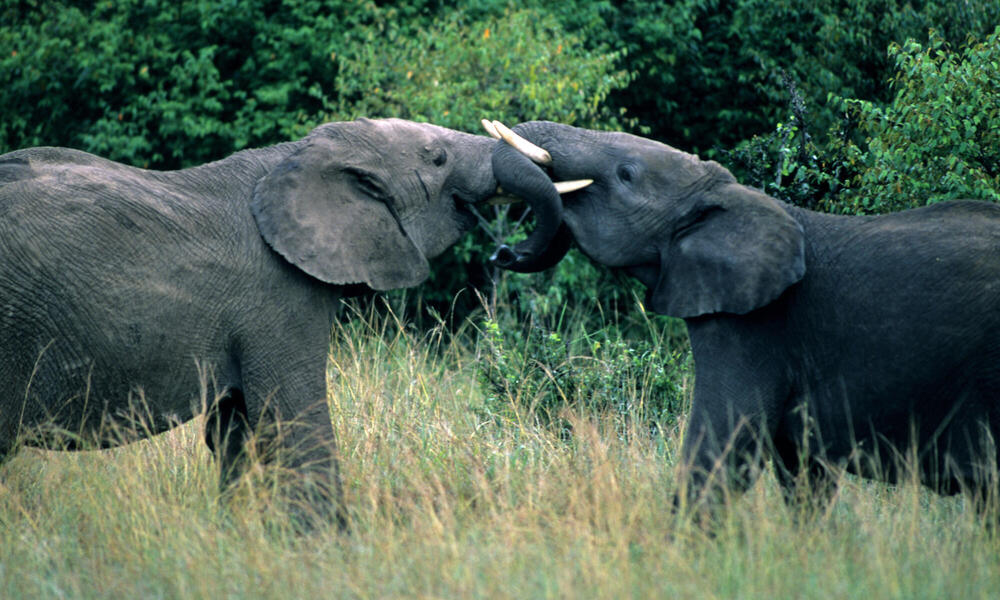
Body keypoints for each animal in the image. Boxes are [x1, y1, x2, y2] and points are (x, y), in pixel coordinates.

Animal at [0, 118, 520, 528]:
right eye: (437, 158)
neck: (294, 155)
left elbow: (236, 435)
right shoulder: (279, 296)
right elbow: (296, 421)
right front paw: (334, 551)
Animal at [484, 120, 1000, 516]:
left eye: (626, 174)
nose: (502, 252)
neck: (731, 198)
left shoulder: (757, 325)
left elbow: (723, 448)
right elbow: (802, 474)